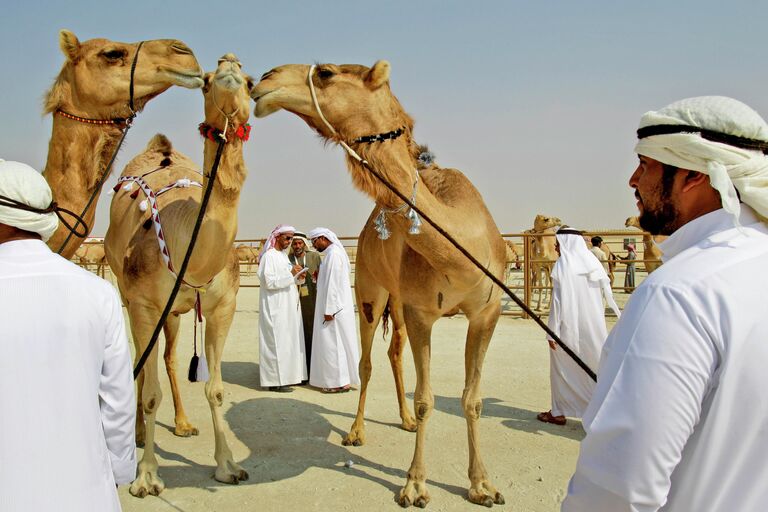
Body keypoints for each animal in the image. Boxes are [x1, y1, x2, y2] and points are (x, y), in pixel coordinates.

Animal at [104, 55, 252, 496]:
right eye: (205, 81)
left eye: (249, 81)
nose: (229, 63)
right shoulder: (143, 303)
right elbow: (150, 391)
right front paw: (147, 477)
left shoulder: (224, 306)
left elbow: (216, 388)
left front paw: (228, 465)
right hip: (130, 295)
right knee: (142, 357)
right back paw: (138, 436)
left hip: (173, 312)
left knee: (169, 357)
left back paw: (184, 424)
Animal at [252, 60, 510, 508]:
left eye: (326, 73)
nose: (264, 80)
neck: (464, 246)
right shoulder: (423, 312)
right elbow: (426, 400)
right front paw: (414, 485)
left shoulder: (485, 312)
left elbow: (473, 400)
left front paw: (482, 485)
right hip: (372, 293)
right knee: (368, 360)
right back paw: (357, 431)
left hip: (398, 301)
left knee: (394, 352)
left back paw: (402, 420)